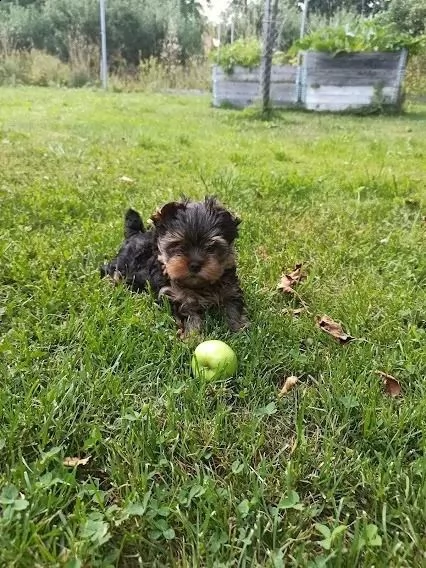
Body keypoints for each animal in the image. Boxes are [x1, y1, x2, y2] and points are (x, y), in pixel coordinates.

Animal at [101, 196, 248, 338]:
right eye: (178, 245)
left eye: (211, 247)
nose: (195, 265)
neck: (199, 285)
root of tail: (135, 234)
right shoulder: (174, 296)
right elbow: (189, 316)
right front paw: (192, 337)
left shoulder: (230, 289)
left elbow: (233, 307)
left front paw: (238, 329)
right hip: (121, 265)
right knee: (110, 271)